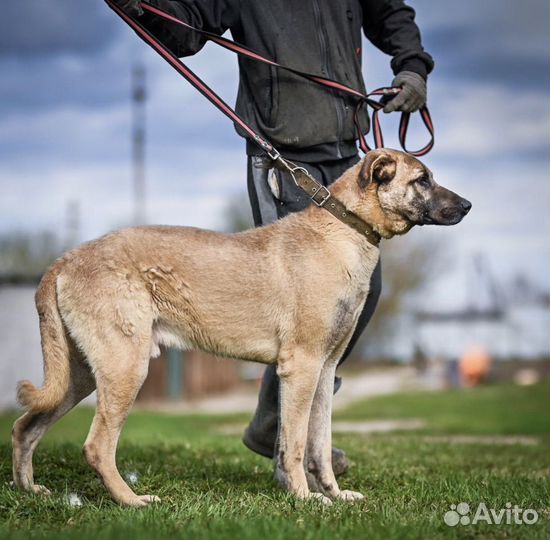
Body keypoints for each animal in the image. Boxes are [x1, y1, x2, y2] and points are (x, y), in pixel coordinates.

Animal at [11, 149, 470, 506]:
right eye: (423, 179)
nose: (467, 205)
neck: (344, 228)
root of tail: (64, 261)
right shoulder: (301, 367)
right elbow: (296, 443)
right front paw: (305, 499)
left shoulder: (324, 371)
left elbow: (318, 445)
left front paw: (334, 495)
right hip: (125, 368)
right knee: (96, 447)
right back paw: (132, 500)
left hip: (82, 375)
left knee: (25, 428)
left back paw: (28, 491)